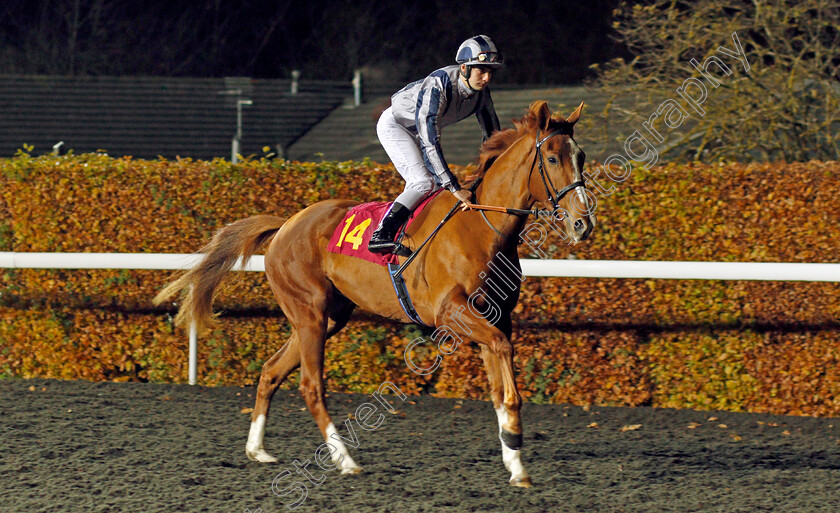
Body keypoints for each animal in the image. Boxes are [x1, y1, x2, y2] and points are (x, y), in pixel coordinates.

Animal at [154, 98, 592, 486]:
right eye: (552, 158)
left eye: (581, 156)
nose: (582, 223)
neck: (481, 228)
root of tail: (285, 225)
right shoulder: (452, 313)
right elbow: (503, 361)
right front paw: (514, 441)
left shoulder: (496, 315)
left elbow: (499, 387)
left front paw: (515, 462)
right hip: (309, 312)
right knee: (311, 386)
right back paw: (345, 460)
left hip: (328, 316)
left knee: (271, 371)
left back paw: (257, 449)